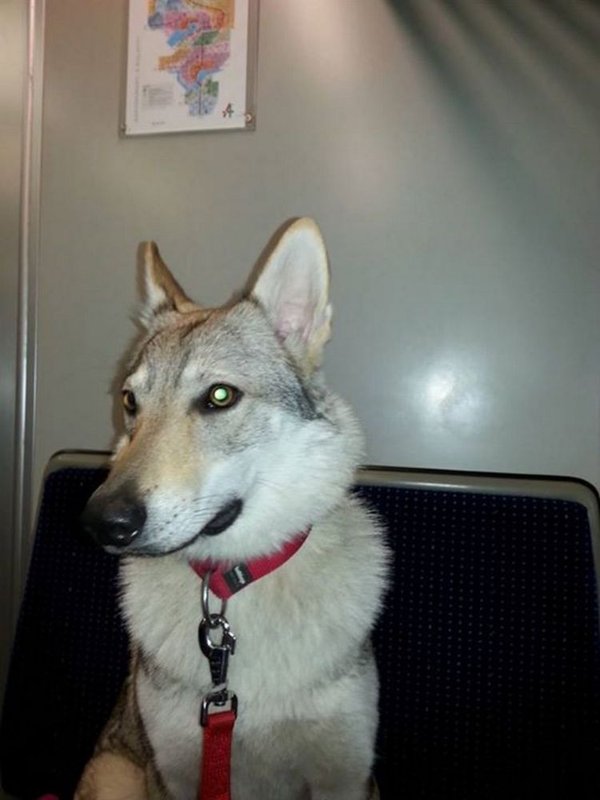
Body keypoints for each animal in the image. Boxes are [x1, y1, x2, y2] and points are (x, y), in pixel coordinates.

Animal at [77, 219, 389, 799]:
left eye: (220, 396)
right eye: (130, 402)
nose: (102, 522)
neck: (234, 586)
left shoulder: (346, 775)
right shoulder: (173, 774)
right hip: (116, 775)